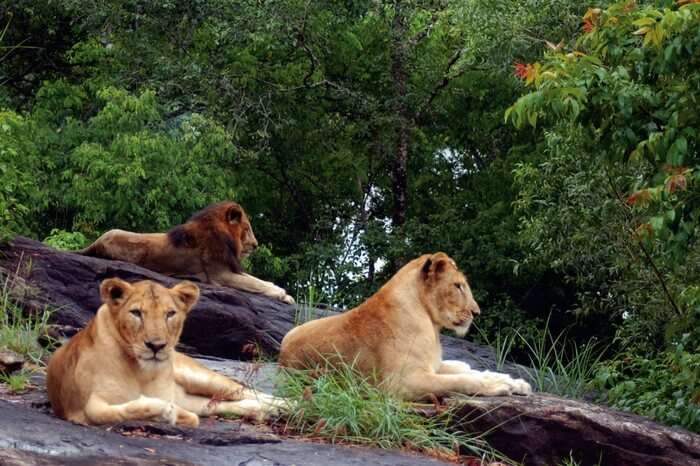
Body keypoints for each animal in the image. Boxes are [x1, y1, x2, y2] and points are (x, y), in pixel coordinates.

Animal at [47, 276, 288, 426]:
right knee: (222, 403)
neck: (141, 371)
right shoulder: (81, 405)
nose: (156, 346)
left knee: (247, 391)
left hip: (201, 377)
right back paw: (263, 411)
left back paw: (286, 406)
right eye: (136, 313)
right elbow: (105, 413)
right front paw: (165, 412)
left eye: (170, 314)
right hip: (195, 398)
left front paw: (167, 412)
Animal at [78, 201, 292, 304]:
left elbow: (259, 281)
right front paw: (281, 293)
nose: (256, 245)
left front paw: (285, 294)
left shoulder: (230, 267)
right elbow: (255, 283)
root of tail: (96, 242)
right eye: (246, 229)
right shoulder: (219, 275)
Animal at [278, 251, 532, 400]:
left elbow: (468, 371)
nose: (476, 312)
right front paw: (498, 384)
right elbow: (462, 380)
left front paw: (515, 382)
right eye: (458, 286)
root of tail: (281, 354)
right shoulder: (400, 383)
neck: (431, 324)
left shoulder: (430, 365)